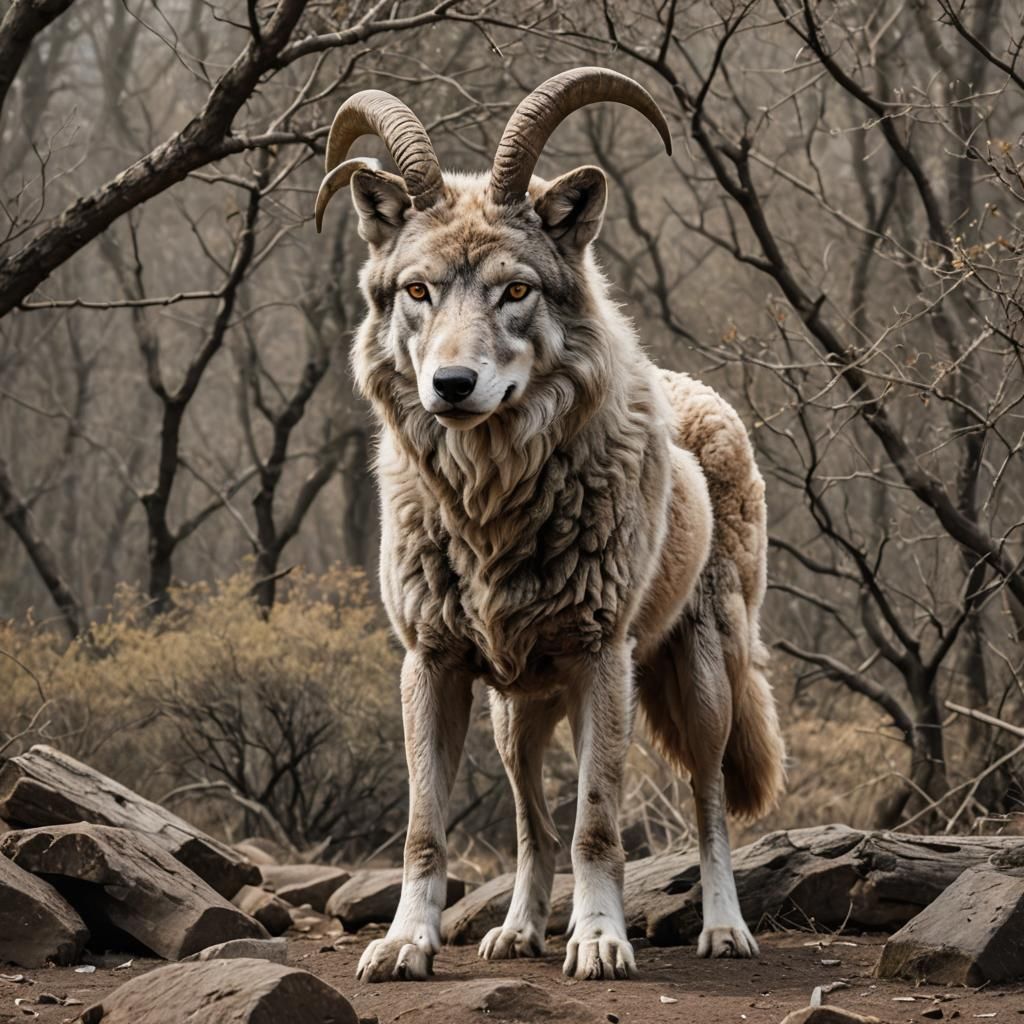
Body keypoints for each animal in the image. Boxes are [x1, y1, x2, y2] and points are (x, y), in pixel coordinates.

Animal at [314, 67, 785, 983]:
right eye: (419, 290)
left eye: (515, 290)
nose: (452, 385)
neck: (490, 508)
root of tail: (702, 394)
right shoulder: (430, 664)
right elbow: (427, 831)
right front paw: (406, 942)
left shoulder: (602, 661)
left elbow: (595, 826)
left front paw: (600, 941)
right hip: (517, 715)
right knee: (531, 824)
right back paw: (519, 932)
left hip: (701, 682)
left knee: (708, 803)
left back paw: (724, 929)